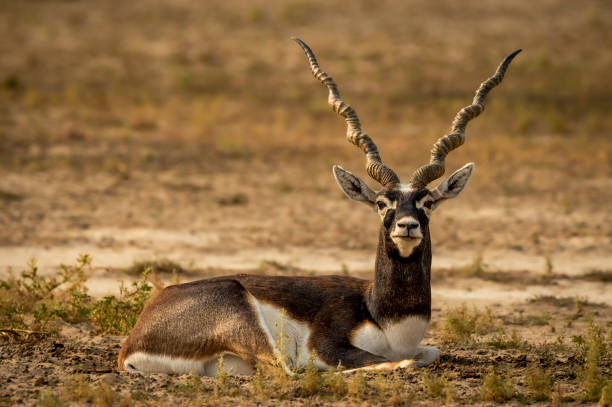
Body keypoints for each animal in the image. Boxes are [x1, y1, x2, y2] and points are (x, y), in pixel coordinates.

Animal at [117, 38, 520, 376]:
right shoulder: (326, 346)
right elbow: (396, 360)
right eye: (380, 202)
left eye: (429, 202)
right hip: (246, 319)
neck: (384, 315)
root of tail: (134, 340)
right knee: (288, 370)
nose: (406, 226)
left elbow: (430, 352)